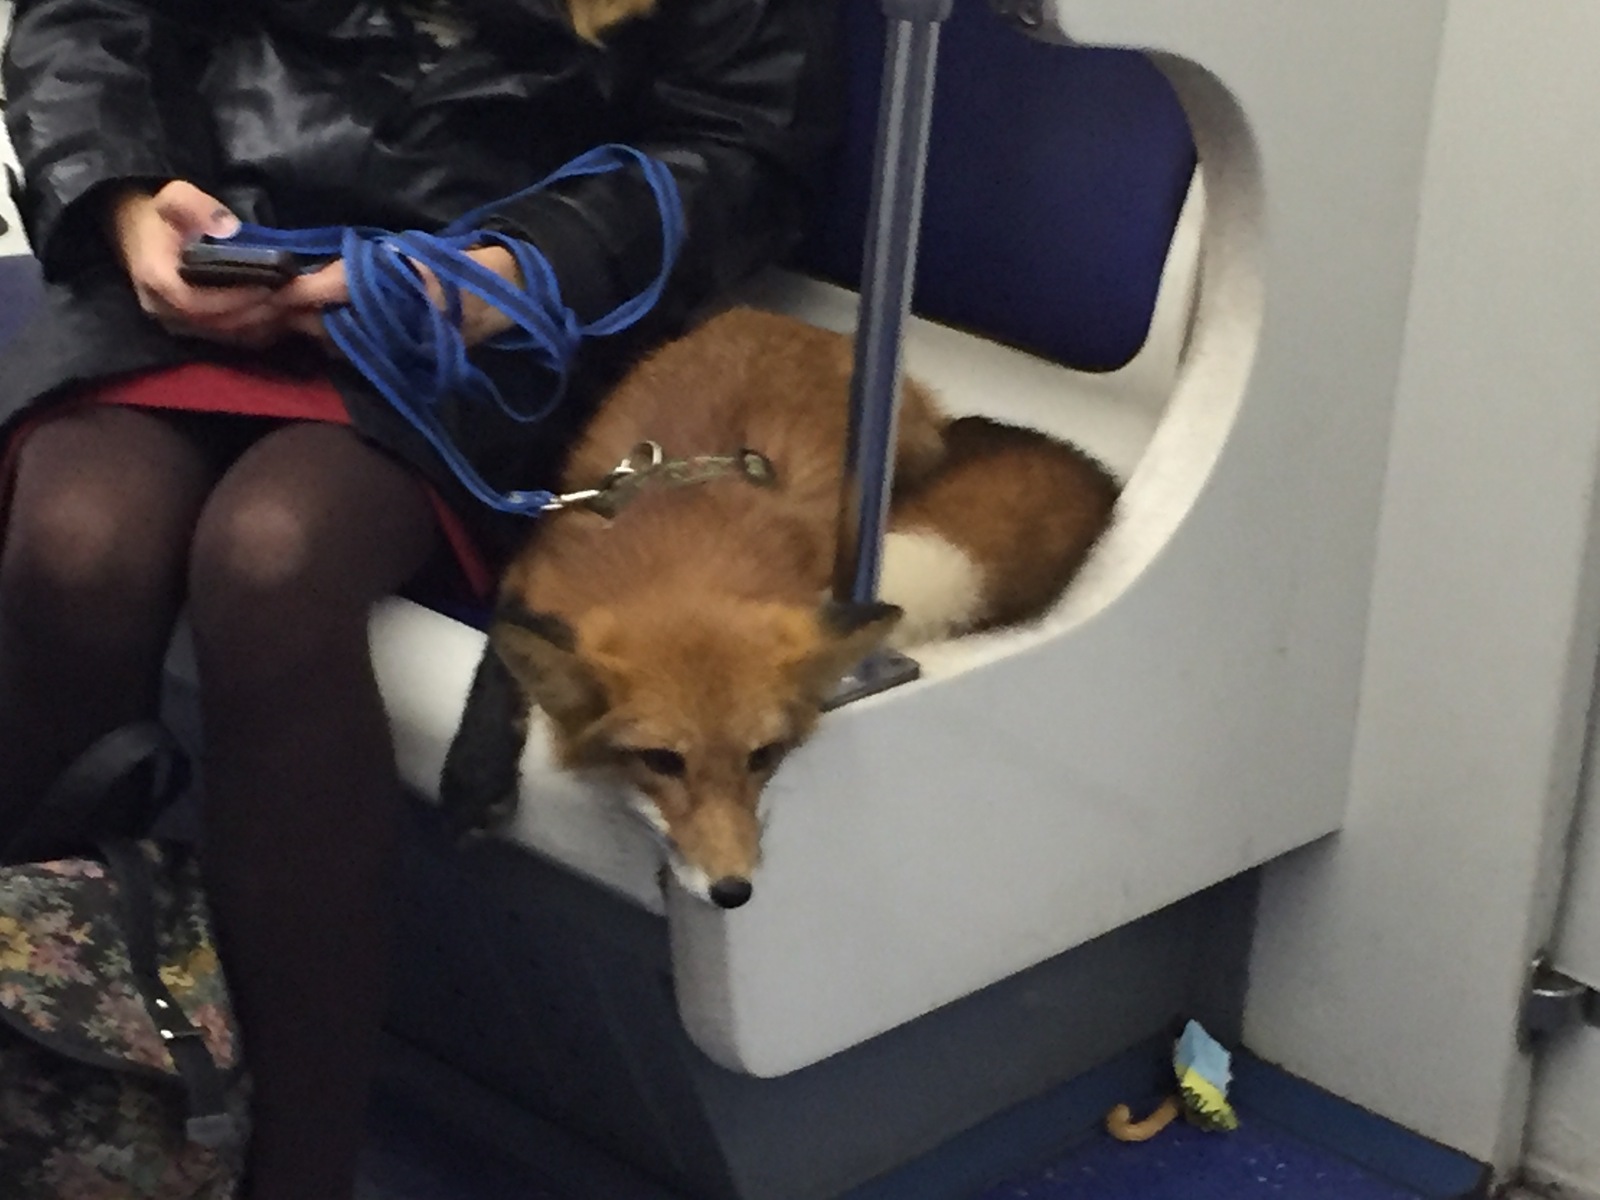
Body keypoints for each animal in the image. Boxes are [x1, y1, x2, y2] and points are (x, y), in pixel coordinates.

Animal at [438, 307, 1113, 908]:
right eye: (661, 762)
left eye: (762, 757)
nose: (733, 891)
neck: (681, 550)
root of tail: (791, 322)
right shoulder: (533, 569)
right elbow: (497, 664)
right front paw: (475, 771)